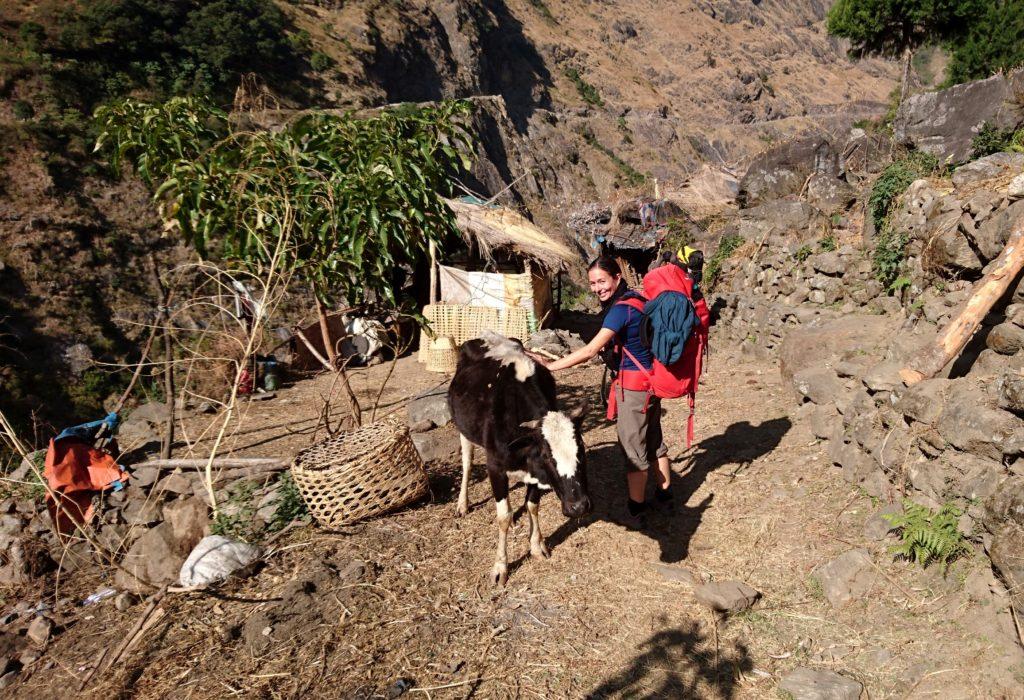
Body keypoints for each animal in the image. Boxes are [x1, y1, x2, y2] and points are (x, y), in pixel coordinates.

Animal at [448, 331, 593, 585]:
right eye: (547, 455)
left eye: (581, 450)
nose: (579, 507)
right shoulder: (495, 466)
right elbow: (503, 516)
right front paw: (500, 567)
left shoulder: (535, 472)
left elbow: (532, 505)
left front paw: (537, 546)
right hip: (463, 428)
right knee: (467, 463)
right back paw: (462, 504)